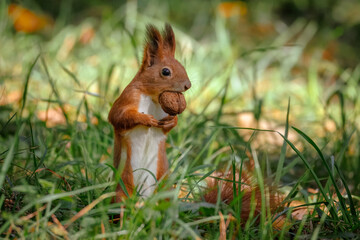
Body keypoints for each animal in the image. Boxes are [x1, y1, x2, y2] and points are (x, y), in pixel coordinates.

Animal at [108, 23, 191, 201]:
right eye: (165, 72)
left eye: (182, 66)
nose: (188, 85)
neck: (153, 98)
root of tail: (143, 200)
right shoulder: (129, 97)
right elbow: (117, 116)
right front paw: (146, 120)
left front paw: (171, 121)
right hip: (125, 181)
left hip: (163, 182)